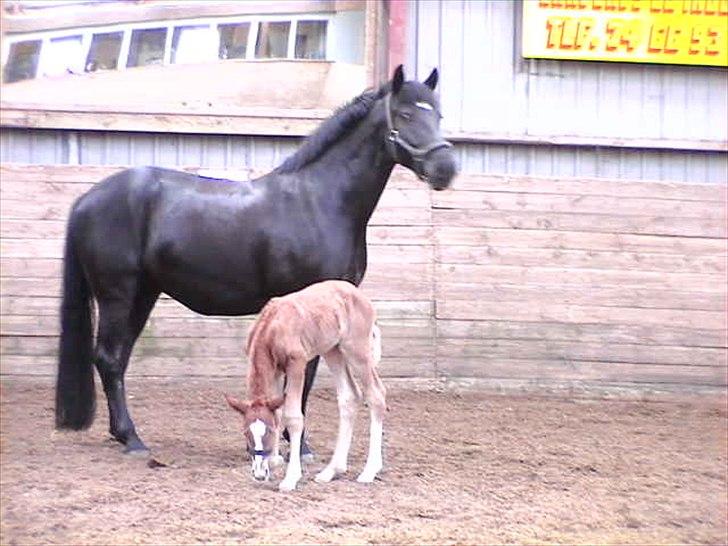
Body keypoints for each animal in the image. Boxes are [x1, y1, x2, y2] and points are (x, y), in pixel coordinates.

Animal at [55, 66, 456, 452]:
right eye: (405, 114)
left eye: (438, 114)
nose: (446, 167)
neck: (319, 202)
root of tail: (86, 200)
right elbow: (301, 377)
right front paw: (297, 443)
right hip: (117, 295)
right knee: (108, 358)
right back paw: (132, 439)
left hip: (143, 294)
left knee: (119, 359)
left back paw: (121, 434)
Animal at [225, 278, 386, 490]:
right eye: (245, 432)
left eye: (269, 432)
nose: (258, 474)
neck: (272, 327)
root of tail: (362, 297)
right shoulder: (275, 370)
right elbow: (277, 412)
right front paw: (274, 461)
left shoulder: (296, 363)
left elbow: (293, 417)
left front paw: (291, 477)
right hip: (333, 350)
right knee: (349, 396)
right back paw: (331, 471)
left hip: (356, 350)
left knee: (376, 395)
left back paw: (369, 471)